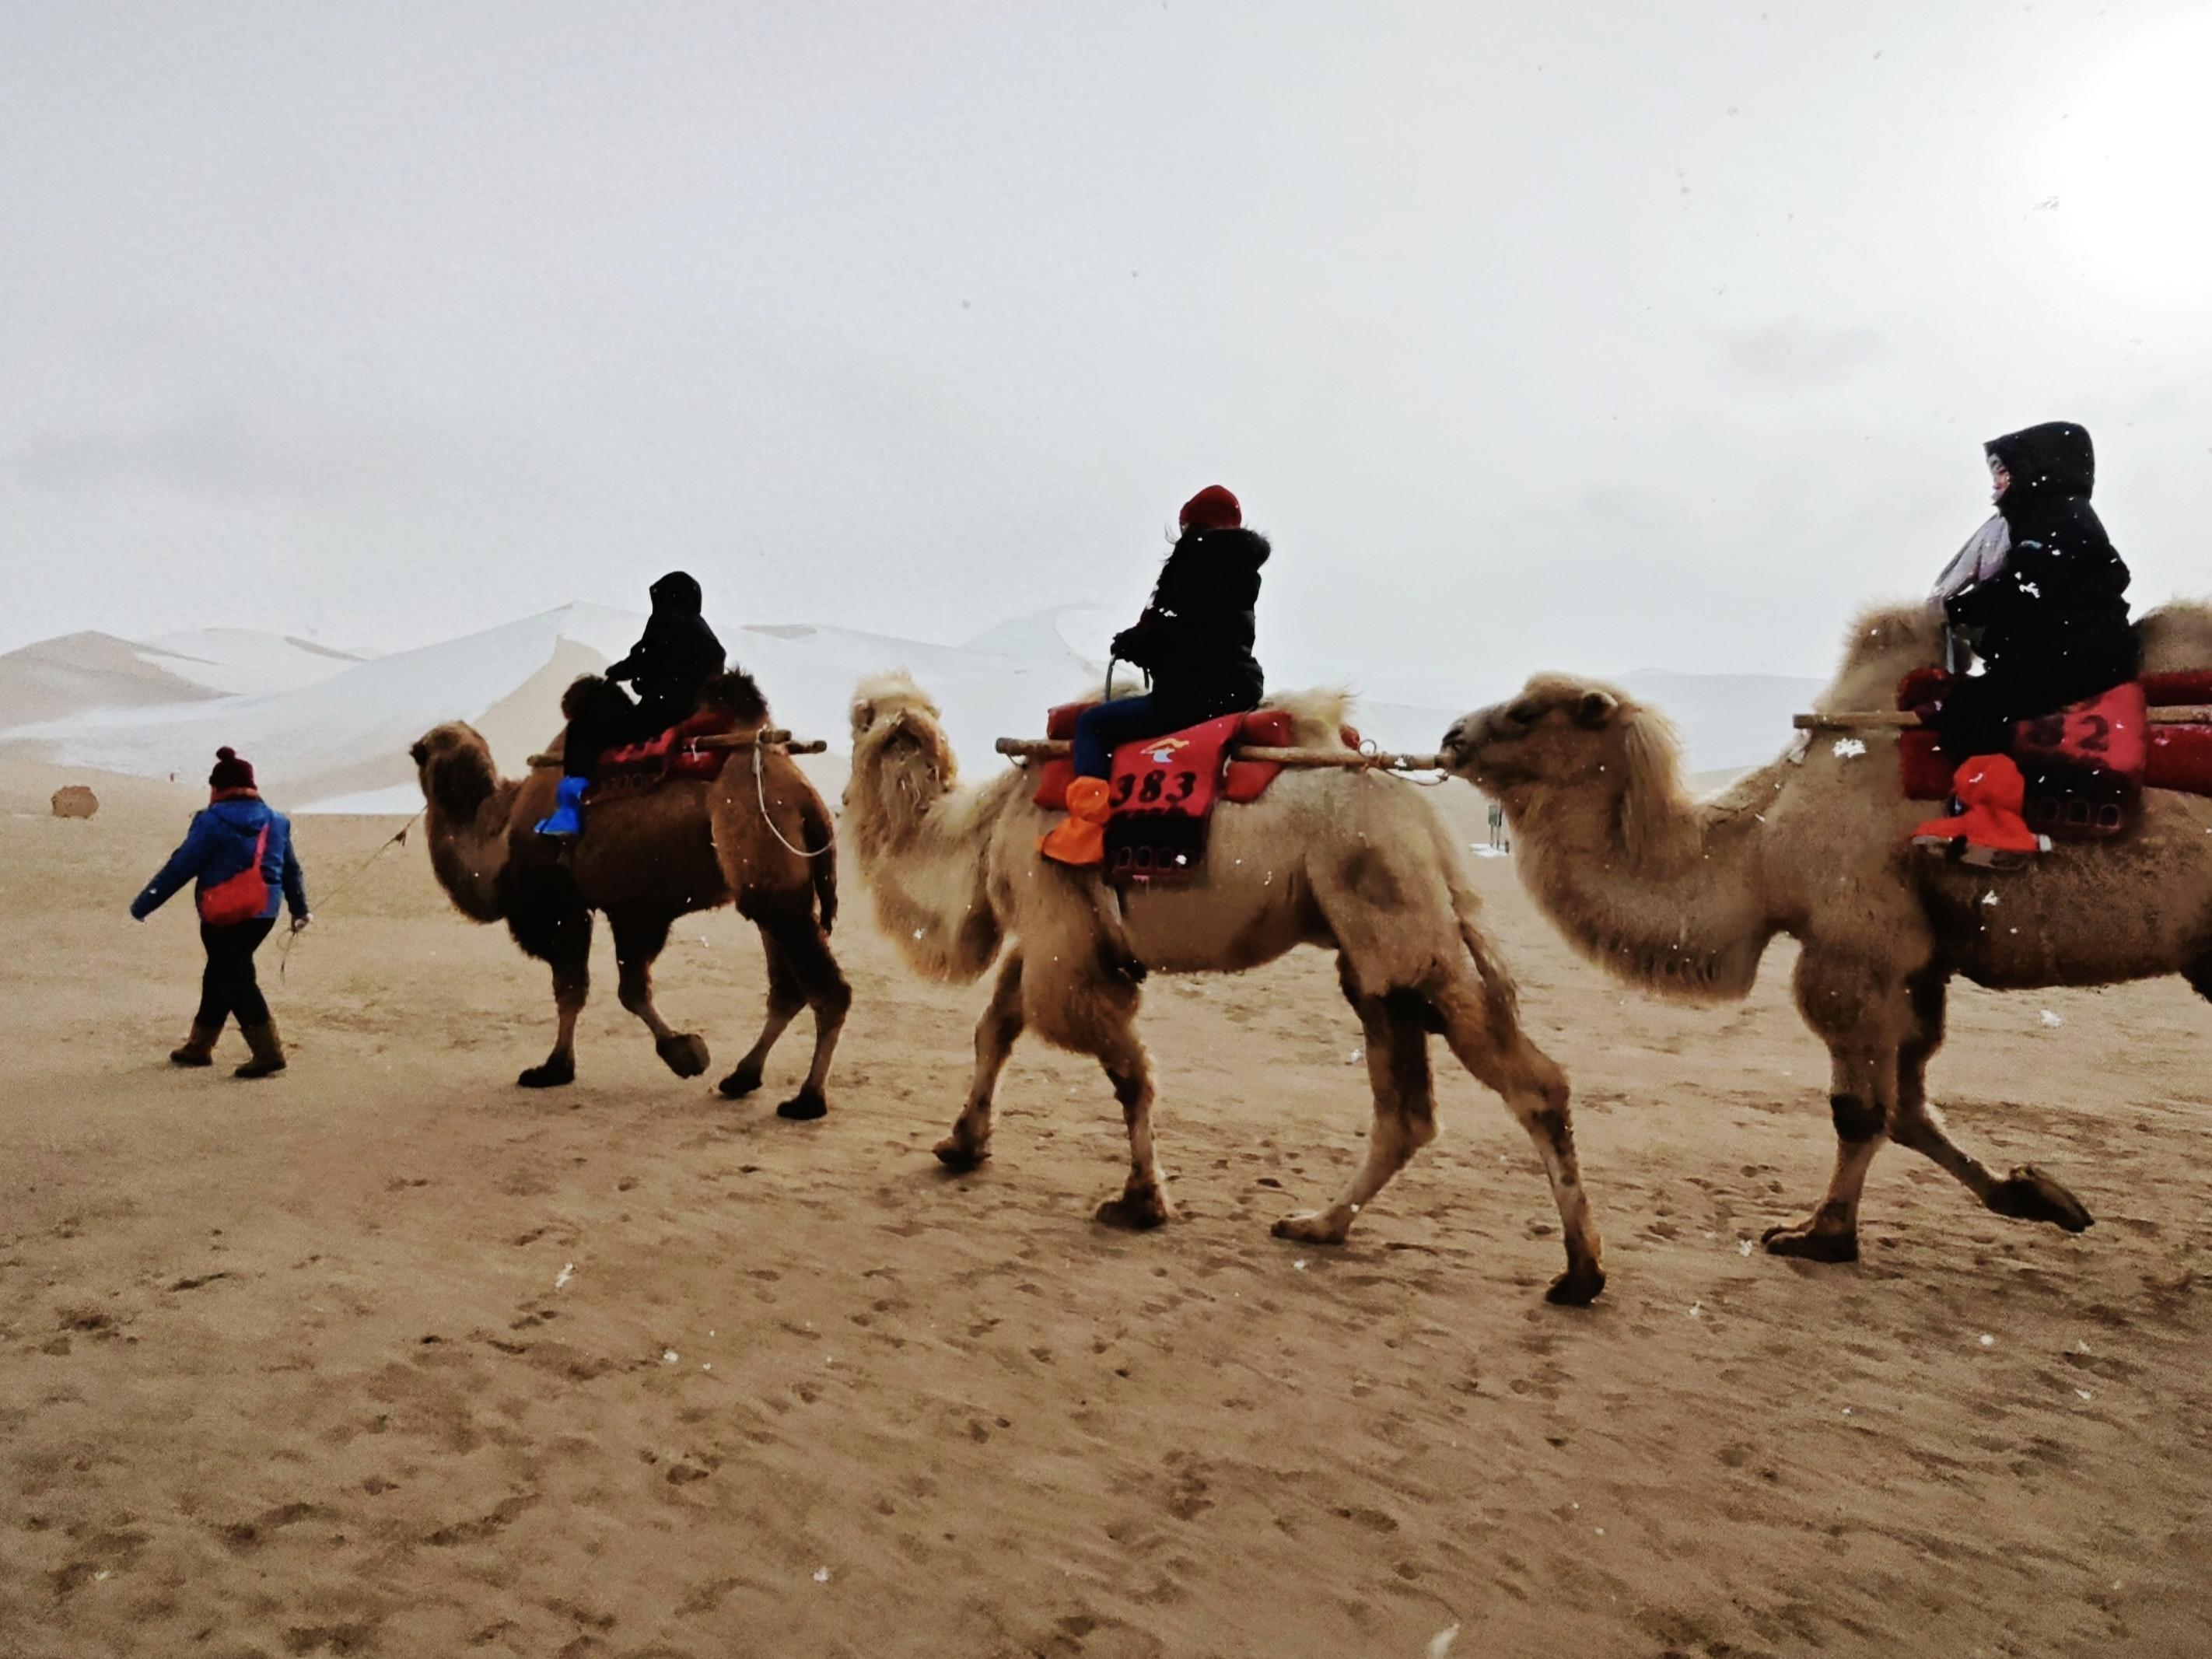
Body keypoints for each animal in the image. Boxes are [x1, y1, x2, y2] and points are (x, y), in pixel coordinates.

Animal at [411, 667, 849, 1123]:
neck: (500, 838)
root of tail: (803, 793)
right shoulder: (634, 907)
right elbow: (627, 989)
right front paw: (683, 1053)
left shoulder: (564, 907)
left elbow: (581, 990)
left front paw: (557, 1068)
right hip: (777, 887)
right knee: (787, 987)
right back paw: (742, 1077)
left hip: (765, 856)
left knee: (828, 991)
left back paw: (807, 1100)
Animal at [845, 667, 1610, 1309]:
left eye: (859, 716)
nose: (851, 785)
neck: (980, 829)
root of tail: (1418, 814)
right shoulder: (1052, 936)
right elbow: (997, 1028)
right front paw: (962, 1142)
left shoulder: (1059, 930)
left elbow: (1124, 1070)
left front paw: (1141, 1201)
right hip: (1376, 946)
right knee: (1407, 1109)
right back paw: (1319, 1224)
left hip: (1394, 909)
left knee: (1529, 1084)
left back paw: (1580, 1273)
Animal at [1433, 606, 2212, 1265]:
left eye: (1526, 713)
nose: (1451, 736)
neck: (1761, 844)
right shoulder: (1917, 959)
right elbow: (1909, 1108)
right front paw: (2037, 1194)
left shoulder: (1854, 947)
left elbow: (1860, 1112)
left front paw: (1820, 1236)